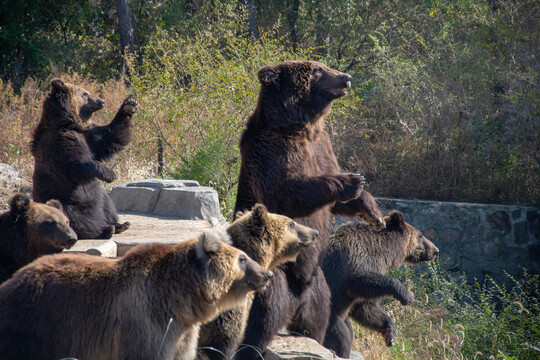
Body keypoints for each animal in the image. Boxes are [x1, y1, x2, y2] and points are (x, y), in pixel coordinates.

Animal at [0, 228, 272, 360]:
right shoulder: (145, 322)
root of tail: (12, 280)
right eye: (243, 259)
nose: (267, 275)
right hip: (33, 327)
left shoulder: (182, 332)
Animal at [31, 80, 136, 240]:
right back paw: (105, 230)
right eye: (85, 93)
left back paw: (119, 224)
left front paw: (129, 104)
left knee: (108, 205)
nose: (101, 101)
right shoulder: (59, 145)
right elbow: (79, 164)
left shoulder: (89, 137)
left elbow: (110, 137)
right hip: (66, 201)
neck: (68, 123)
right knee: (75, 218)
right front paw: (111, 174)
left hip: (102, 199)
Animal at [232, 60, 384, 358]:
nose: (346, 77)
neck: (300, 125)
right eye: (317, 71)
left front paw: (374, 213)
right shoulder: (272, 153)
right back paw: (250, 347)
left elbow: (336, 199)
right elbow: (292, 191)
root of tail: (296, 299)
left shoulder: (322, 146)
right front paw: (350, 180)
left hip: (317, 286)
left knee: (319, 318)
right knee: (262, 317)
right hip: (272, 275)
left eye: (324, 66)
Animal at [322, 211, 436, 358]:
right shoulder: (355, 263)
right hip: (326, 313)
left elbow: (366, 308)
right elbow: (362, 281)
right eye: (420, 235)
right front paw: (407, 296)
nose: (435, 250)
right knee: (342, 335)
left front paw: (390, 335)